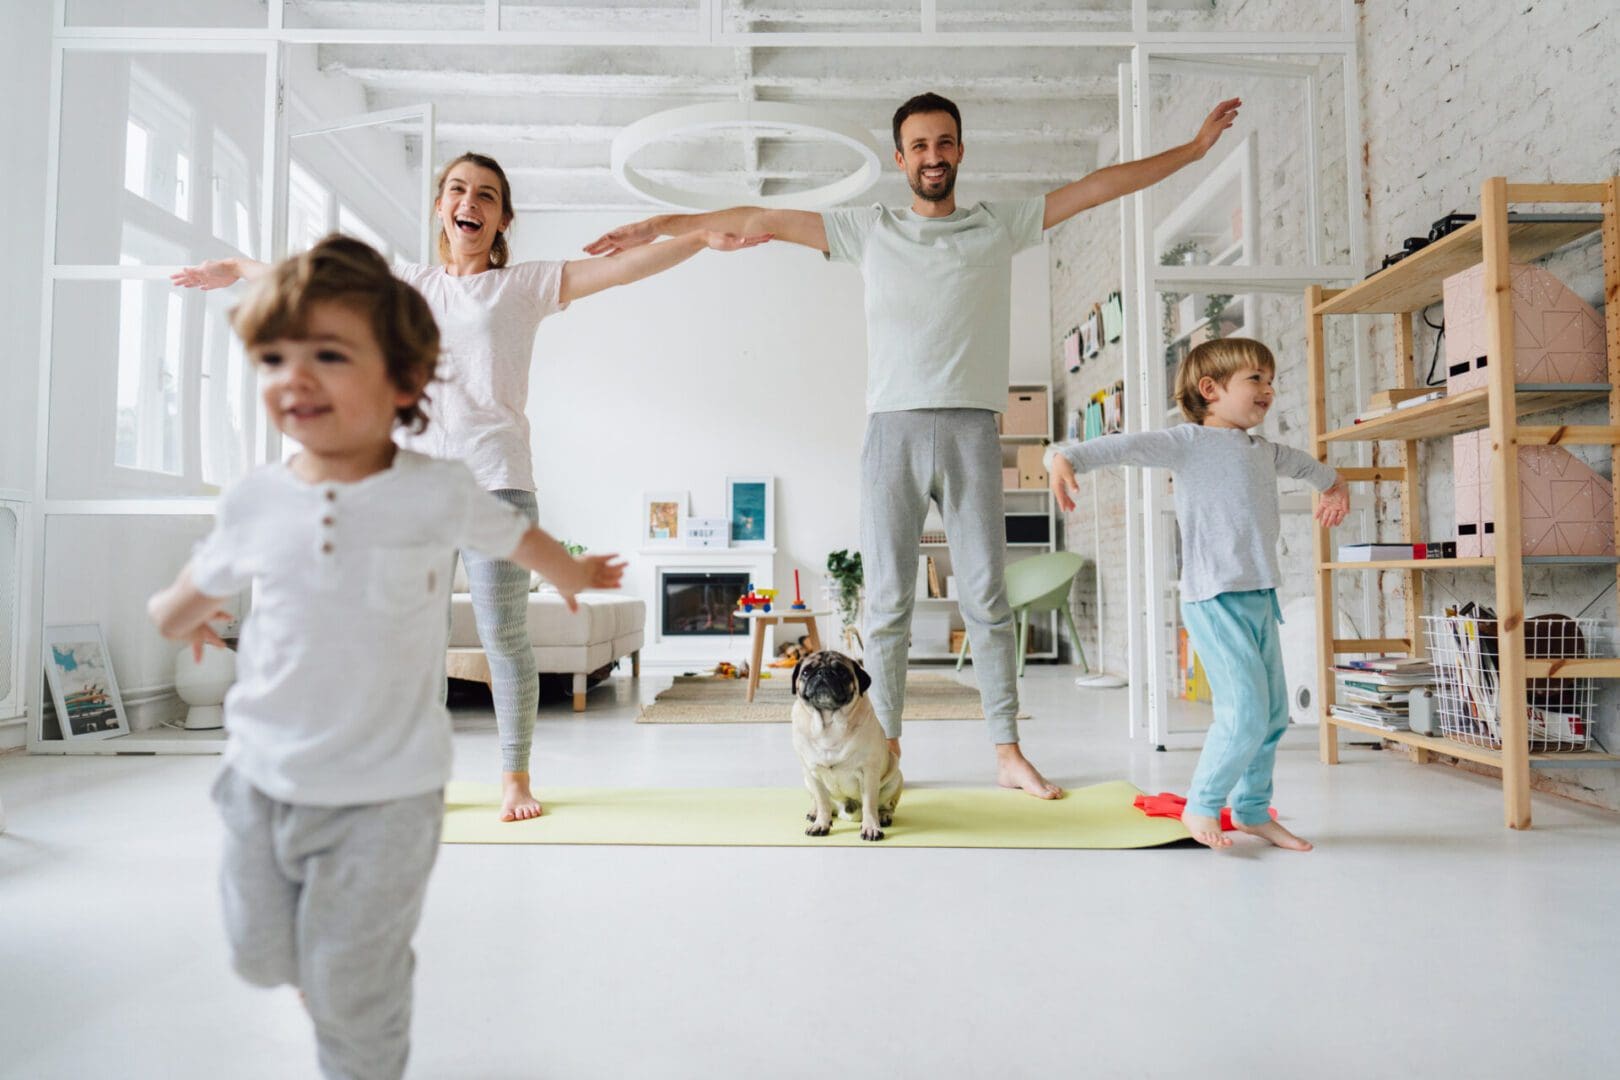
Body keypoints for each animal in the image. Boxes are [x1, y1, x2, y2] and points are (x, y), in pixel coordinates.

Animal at [790, 650, 907, 841]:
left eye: (842, 672)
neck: (829, 724)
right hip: (807, 781)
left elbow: (870, 804)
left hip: (895, 778)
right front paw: (821, 824)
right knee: (821, 802)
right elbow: (822, 801)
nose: (823, 672)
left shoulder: (868, 773)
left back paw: (884, 815)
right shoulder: (812, 773)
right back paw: (815, 813)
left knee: (885, 804)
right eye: (806, 672)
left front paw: (871, 827)